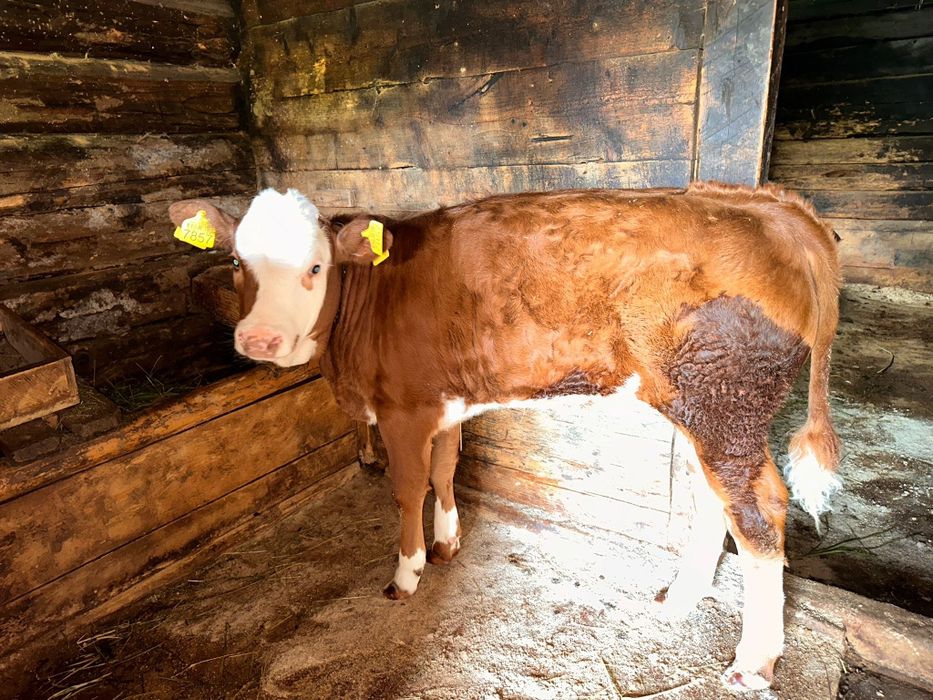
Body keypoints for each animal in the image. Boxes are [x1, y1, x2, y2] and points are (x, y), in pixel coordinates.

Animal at [169, 182, 842, 691]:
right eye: (236, 263)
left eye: (315, 267)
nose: (259, 339)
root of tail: (770, 207)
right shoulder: (440, 404)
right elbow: (444, 470)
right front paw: (447, 545)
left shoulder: (402, 410)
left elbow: (408, 488)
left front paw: (407, 574)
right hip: (702, 407)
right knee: (713, 500)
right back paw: (681, 598)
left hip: (727, 402)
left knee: (759, 511)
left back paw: (753, 662)